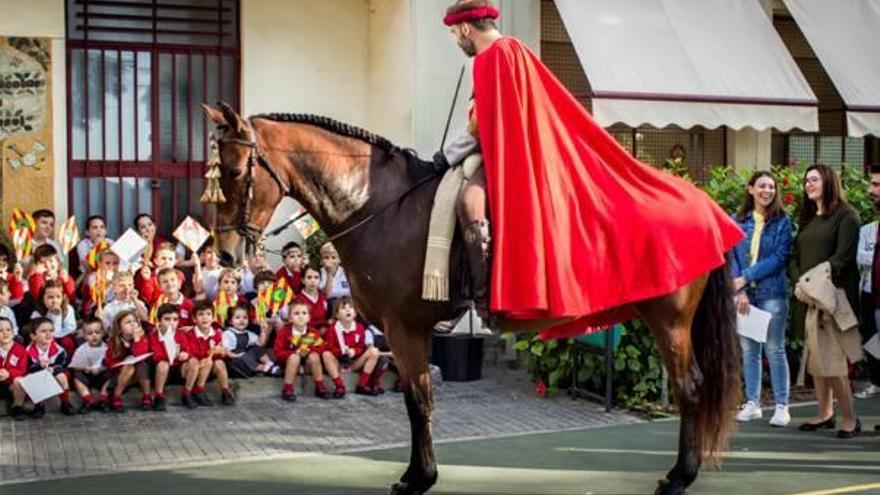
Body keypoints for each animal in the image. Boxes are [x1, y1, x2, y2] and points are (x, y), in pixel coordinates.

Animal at [203, 101, 740, 495]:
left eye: (234, 171)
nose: (225, 253)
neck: (378, 204)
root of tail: (705, 202)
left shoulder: (405, 329)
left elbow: (419, 401)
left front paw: (420, 478)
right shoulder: (405, 331)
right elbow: (416, 401)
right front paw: (417, 474)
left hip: (669, 321)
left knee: (690, 387)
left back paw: (679, 478)